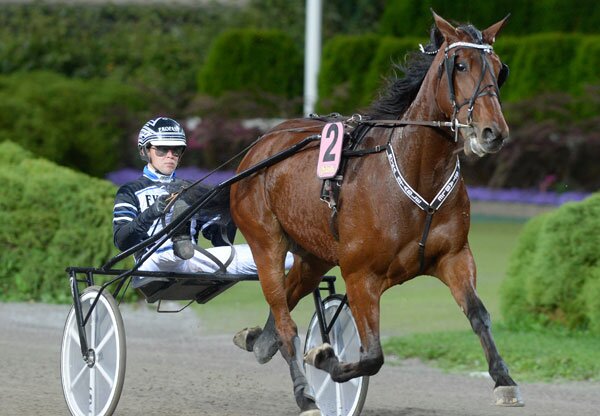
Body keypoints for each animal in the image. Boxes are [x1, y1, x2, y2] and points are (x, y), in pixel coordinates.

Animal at [230, 11, 520, 414]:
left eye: (499, 68)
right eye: (460, 65)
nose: (493, 132)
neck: (418, 175)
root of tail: (262, 144)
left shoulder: (454, 256)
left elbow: (479, 314)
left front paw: (503, 379)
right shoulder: (360, 275)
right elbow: (372, 355)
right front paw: (323, 356)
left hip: (314, 254)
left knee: (286, 298)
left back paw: (259, 340)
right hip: (265, 241)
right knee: (284, 317)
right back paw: (305, 393)